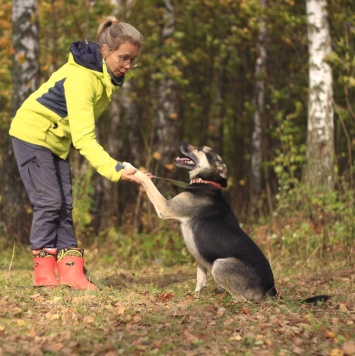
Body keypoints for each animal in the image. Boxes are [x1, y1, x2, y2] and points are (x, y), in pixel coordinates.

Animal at [126, 141, 330, 304]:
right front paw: (196, 296)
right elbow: (200, 281)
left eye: (200, 149)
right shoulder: (201, 257)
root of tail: (271, 290)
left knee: (242, 299)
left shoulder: (165, 207)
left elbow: (148, 183)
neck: (207, 181)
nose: (180, 142)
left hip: (220, 264)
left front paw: (133, 169)